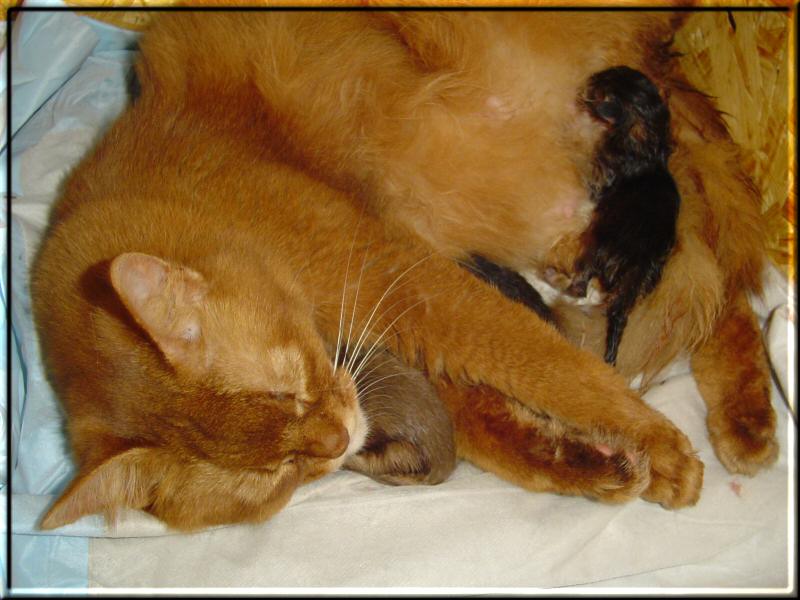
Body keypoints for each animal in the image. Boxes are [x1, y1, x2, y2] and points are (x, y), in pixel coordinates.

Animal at [556, 65, 680, 366]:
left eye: (596, 90)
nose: (589, 79)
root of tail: (635, 265)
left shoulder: (603, 175)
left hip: (594, 245)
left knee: (580, 282)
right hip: (646, 279)